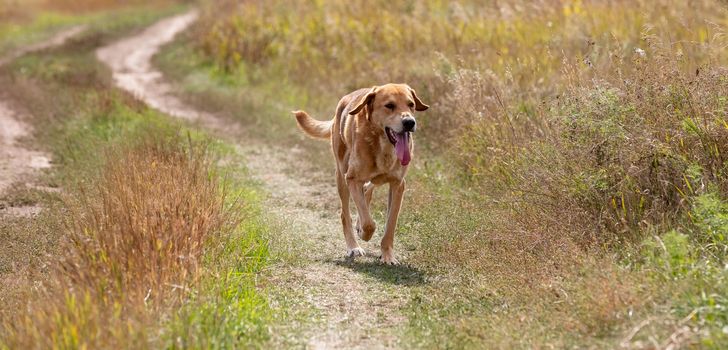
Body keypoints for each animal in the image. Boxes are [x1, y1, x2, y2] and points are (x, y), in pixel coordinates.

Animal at [294, 84, 430, 266]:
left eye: (411, 105)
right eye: (389, 105)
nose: (409, 122)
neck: (383, 145)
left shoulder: (398, 184)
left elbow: (390, 225)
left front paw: (388, 256)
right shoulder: (352, 179)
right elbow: (369, 223)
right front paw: (364, 234)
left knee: (368, 189)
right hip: (341, 176)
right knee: (345, 213)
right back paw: (353, 246)